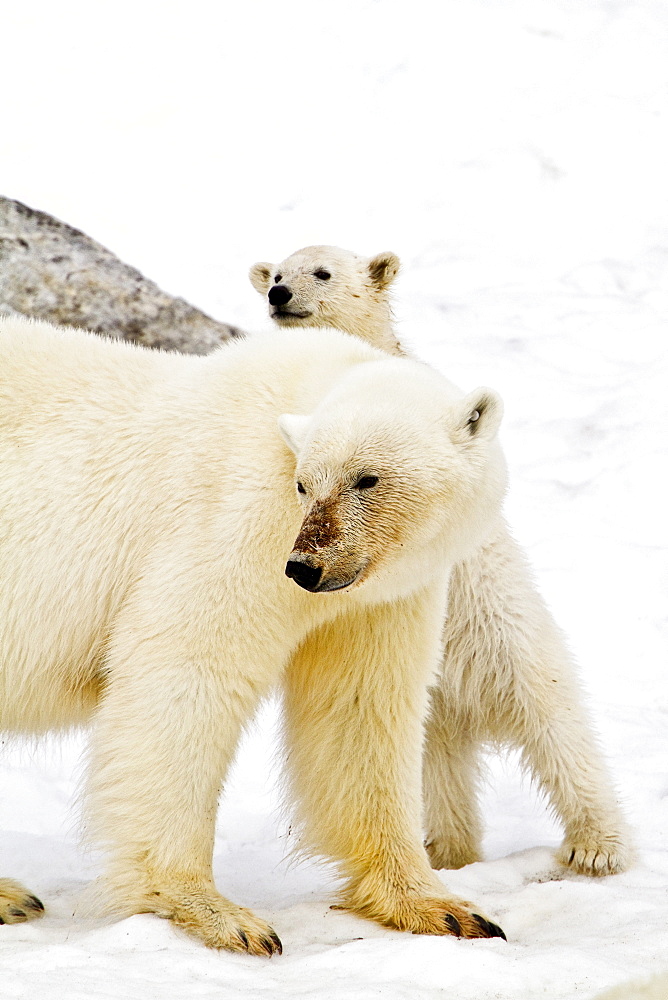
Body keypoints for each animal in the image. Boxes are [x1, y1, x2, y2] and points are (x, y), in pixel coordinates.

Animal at [0, 316, 506, 948]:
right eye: (304, 483)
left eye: (367, 478)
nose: (306, 568)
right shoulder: (234, 518)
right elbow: (187, 668)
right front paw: (218, 913)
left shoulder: (376, 598)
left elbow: (358, 706)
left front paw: (444, 907)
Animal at [249, 246, 632, 880]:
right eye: (276, 273)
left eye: (321, 273)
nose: (280, 294)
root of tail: (469, 706)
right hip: (431, 706)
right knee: (438, 771)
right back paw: (451, 852)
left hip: (505, 640)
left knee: (557, 727)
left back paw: (597, 843)